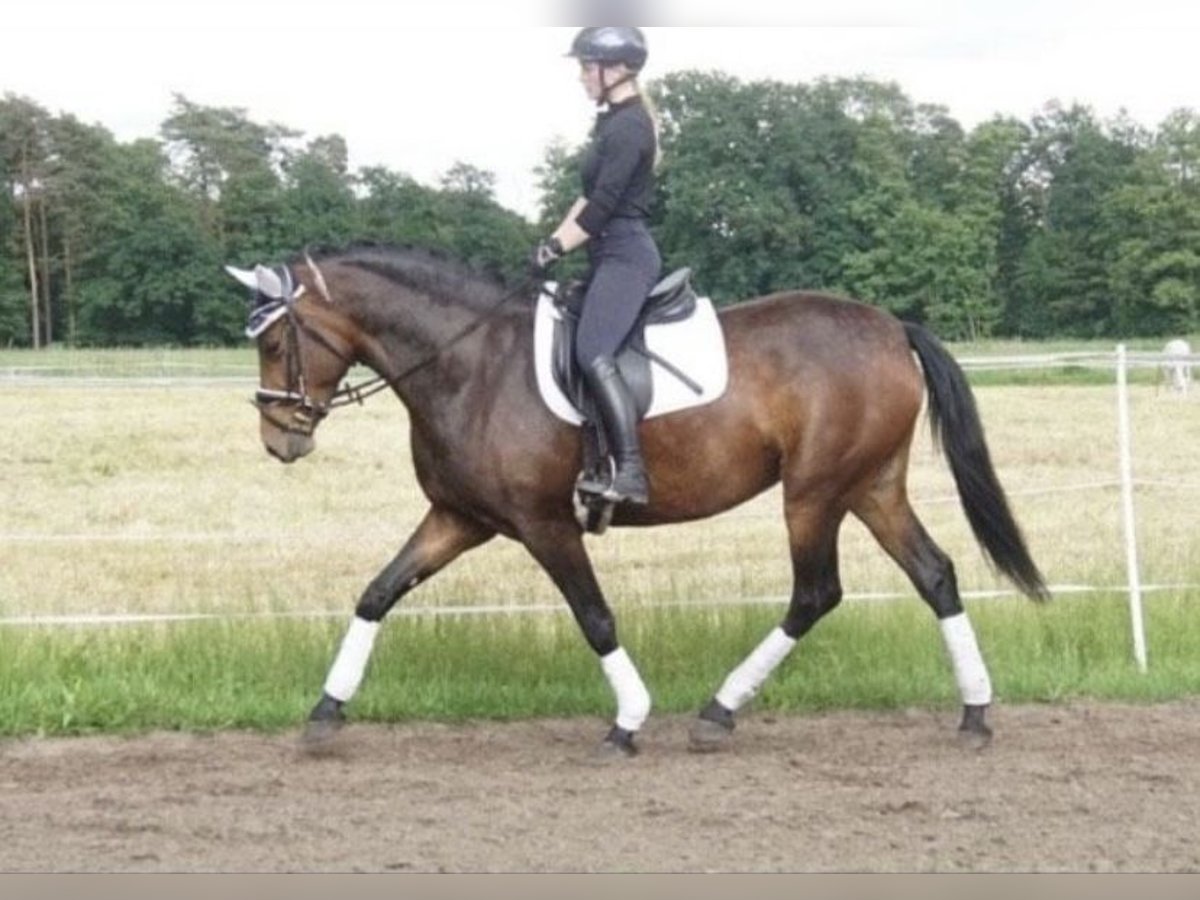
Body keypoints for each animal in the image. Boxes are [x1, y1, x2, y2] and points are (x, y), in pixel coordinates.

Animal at [226, 247, 1051, 763]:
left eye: (272, 343)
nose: (278, 438)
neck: (471, 364)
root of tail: (891, 327)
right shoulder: (460, 520)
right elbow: (377, 593)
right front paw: (325, 714)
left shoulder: (544, 525)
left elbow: (595, 617)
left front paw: (626, 723)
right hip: (871, 487)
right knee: (935, 574)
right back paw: (975, 714)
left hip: (815, 493)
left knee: (816, 593)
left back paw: (718, 713)